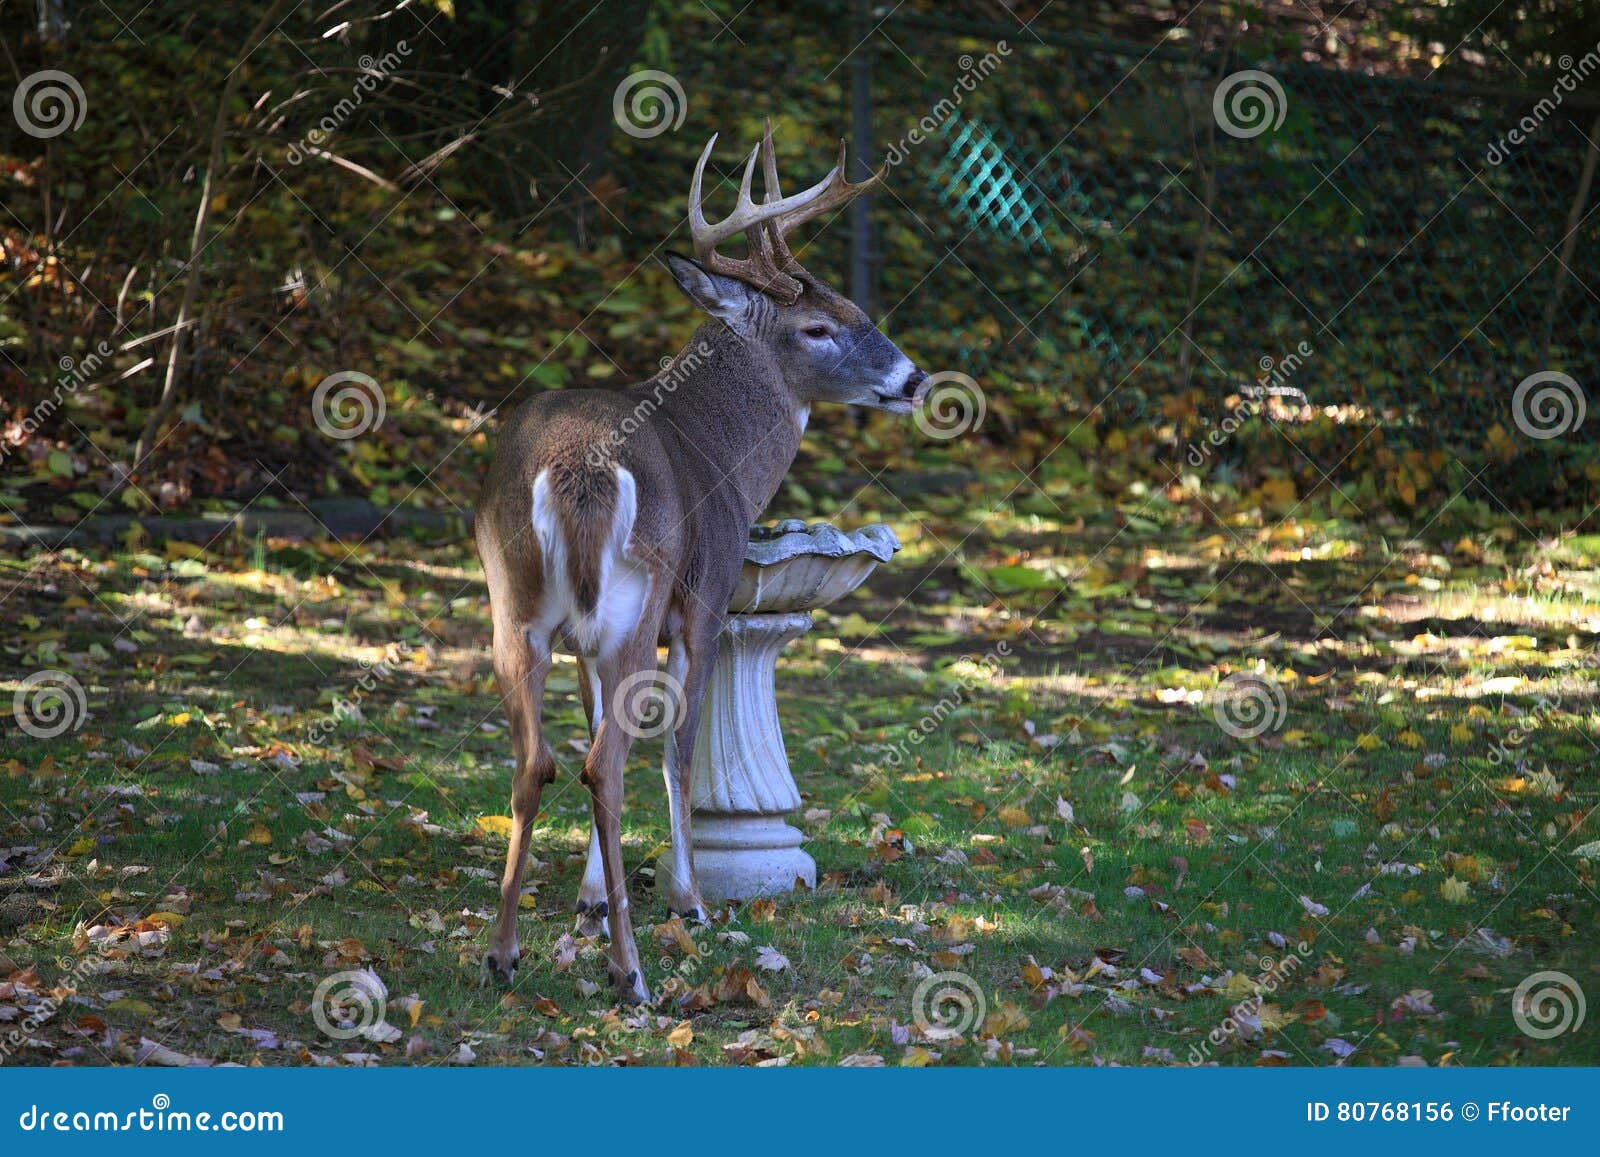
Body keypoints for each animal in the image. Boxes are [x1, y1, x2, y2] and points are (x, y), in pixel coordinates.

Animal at [475, 123, 927, 1003]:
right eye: (819, 325)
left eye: (856, 309)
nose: (915, 378)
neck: (722, 451)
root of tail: (578, 470)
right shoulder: (708, 597)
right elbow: (679, 748)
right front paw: (687, 899)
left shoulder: (585, 639)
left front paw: (588, 902)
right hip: (639, 596)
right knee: (607, 765)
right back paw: (632, 970)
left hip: (514, 605)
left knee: (540, 760)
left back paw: (504, 954)